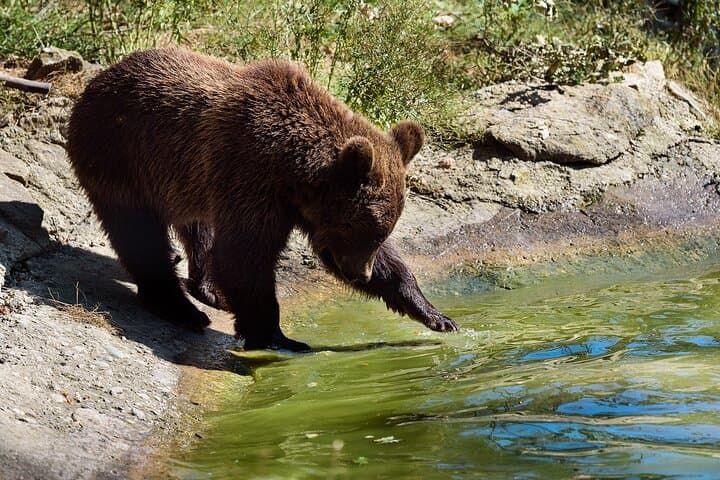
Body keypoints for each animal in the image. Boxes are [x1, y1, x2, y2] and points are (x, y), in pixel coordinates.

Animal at [66, 48, 457, 351]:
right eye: (359, 227)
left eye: (382, 230)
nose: (360, 274)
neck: (296, 171)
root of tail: (98, 79)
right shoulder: (251, 176)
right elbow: (244, 255)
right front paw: (279, 337)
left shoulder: (287, 201)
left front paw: (436, 314)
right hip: (121, 156)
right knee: (138, 233)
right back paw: (181, 308)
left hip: (184, 180)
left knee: (198, 228)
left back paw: (209, 290)